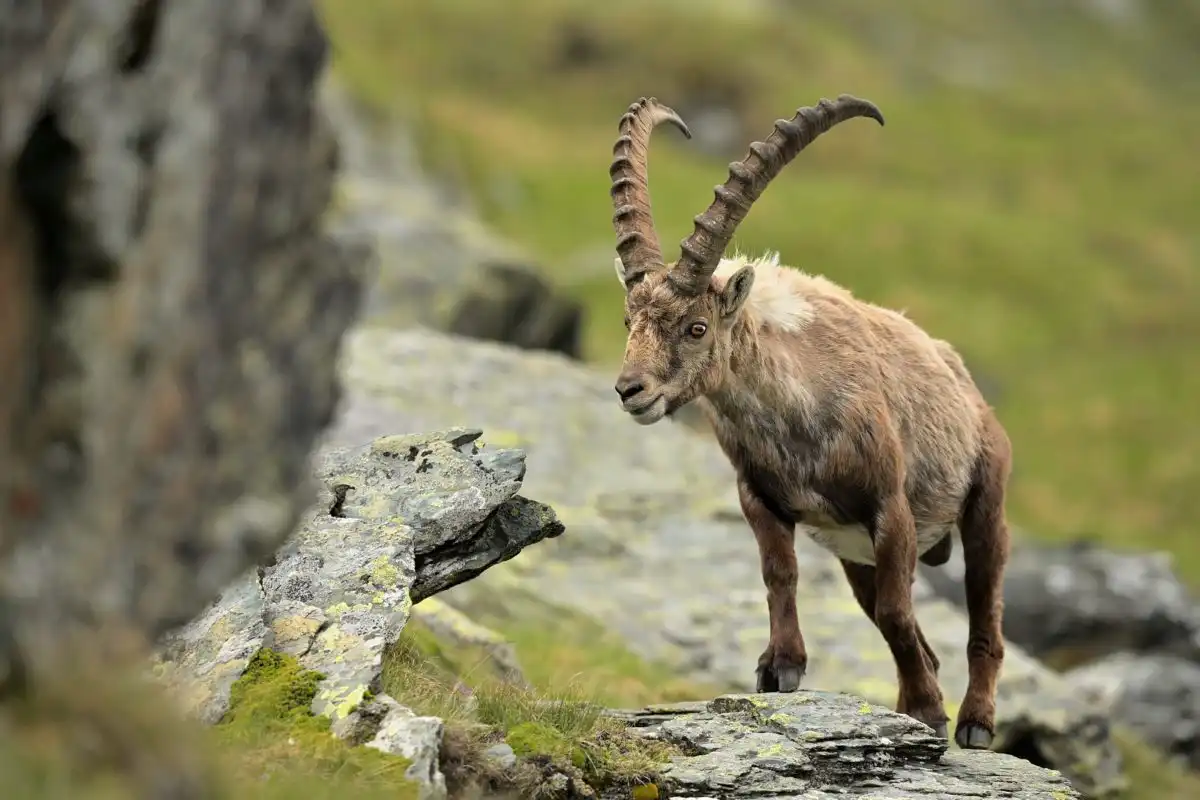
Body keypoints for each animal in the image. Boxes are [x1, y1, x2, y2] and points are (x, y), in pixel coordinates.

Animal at [607, 95, 1011, 749]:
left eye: (696, 326)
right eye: (629, 322)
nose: (630, 391)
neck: (794, 420)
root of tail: (967, 385)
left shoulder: (890, 509)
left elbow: (897, 613)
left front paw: (929, 711)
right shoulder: (761, 498)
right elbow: (781, 575)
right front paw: (781, 669)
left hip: (984, 508)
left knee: (983, 621)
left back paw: (973, 723)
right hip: (855, 557)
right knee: (917, 637)